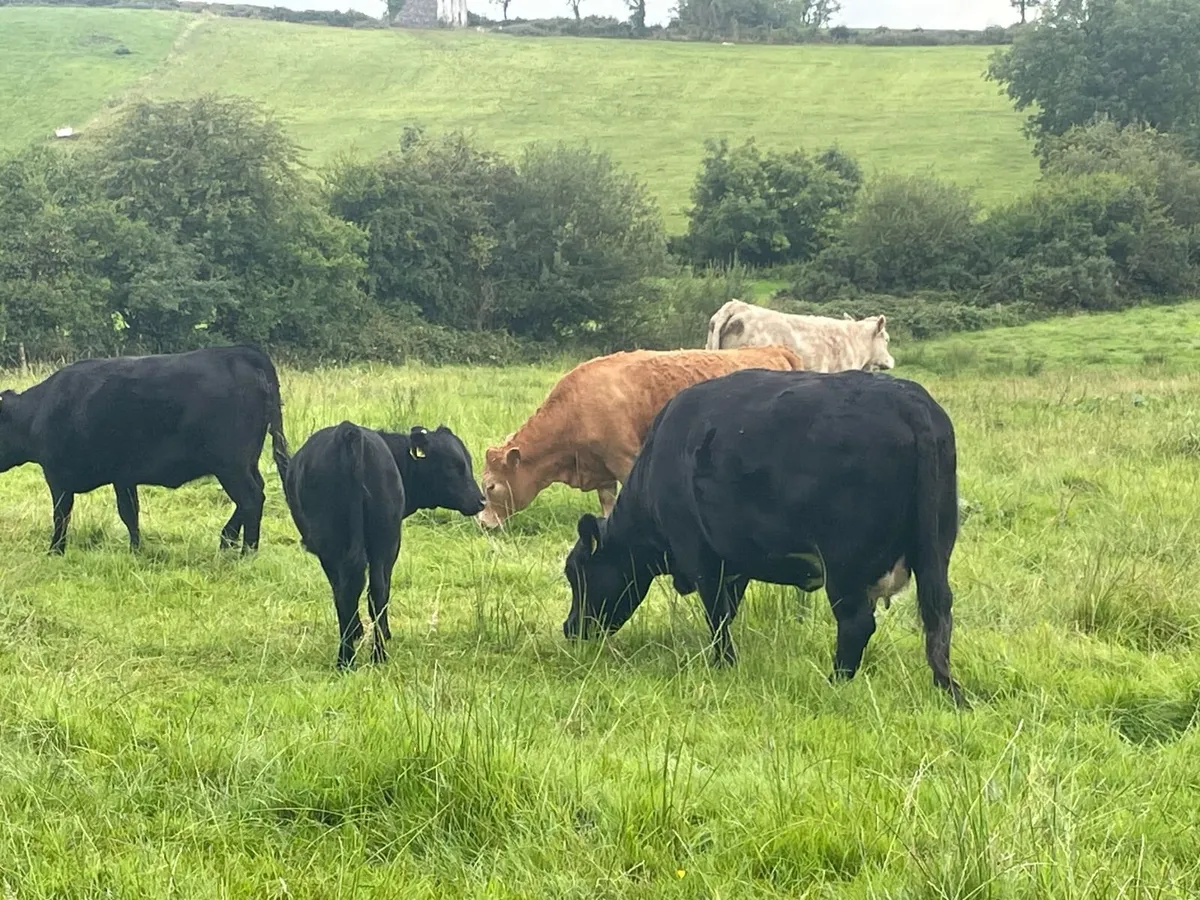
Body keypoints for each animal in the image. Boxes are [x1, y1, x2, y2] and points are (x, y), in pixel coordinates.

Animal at [0, 345, 290, 554]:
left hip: (230, 464)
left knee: (251, 497)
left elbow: (61, 515)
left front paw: (55, 551)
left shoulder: (57, 477)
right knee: (256, 493)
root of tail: (240, 352)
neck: (37, 412)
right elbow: (130, 513)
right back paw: (229, 541)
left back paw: (246, 551)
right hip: (245, 462)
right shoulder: (123, 477)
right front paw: (136, 550)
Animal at [282, 421, 485, 668]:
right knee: (369, 590)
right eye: (453, 466)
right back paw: (367, 654)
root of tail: (349, 431)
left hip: (357, 543)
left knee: (358, 590)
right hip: (380, 540)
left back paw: (354, 657)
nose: (481, 500)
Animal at [477, 345, 805, 529]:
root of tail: (772, 349)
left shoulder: (625, 459)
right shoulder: (600, 468)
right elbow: (607, 503)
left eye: (491, 486)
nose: (482, 522)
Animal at [561, 367, 965, 706]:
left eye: (578, 574)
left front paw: (723, 663)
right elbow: (728, 610)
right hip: (935, 549)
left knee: (856, 624)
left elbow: (717, 615)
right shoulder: (735, 562)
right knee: (938, 614)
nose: (570, 628)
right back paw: (946, 687)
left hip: (844, 563)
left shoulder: (701, 556)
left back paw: (835, 682)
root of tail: (908, 401)